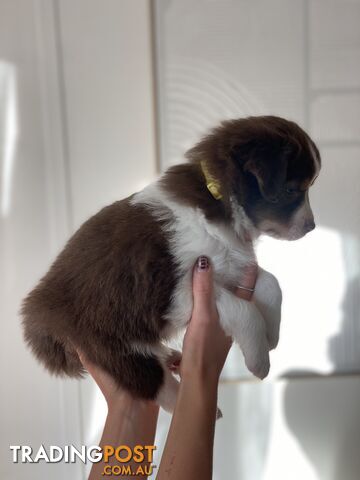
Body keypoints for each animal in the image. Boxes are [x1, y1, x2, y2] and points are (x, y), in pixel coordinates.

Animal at [21, 115, 320, 412]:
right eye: (291, 189)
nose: (312, 226)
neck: (218, 200)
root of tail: (37, 315)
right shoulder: (171, 293)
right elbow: (244, 309)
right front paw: (260, 359)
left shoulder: (232, 264)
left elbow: (272, 283)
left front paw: (272, 334)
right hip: (106, 336)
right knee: (148, 379)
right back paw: (189, 402)